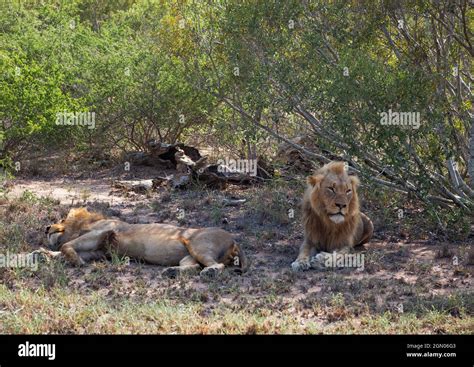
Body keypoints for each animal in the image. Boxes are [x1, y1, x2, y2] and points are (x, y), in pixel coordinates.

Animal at [40, 208, 248, 278]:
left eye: (62, 219)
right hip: (188, 255)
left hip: (198, 245)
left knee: (217, 265)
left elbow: (65, 246)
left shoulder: (101, 233)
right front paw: (44, 254)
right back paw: (171, 272)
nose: (46, 227)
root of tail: (234, 239)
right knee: (194, 266)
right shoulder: (98, 251)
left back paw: (210, 272)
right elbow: (63, 251)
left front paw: (76, 261)